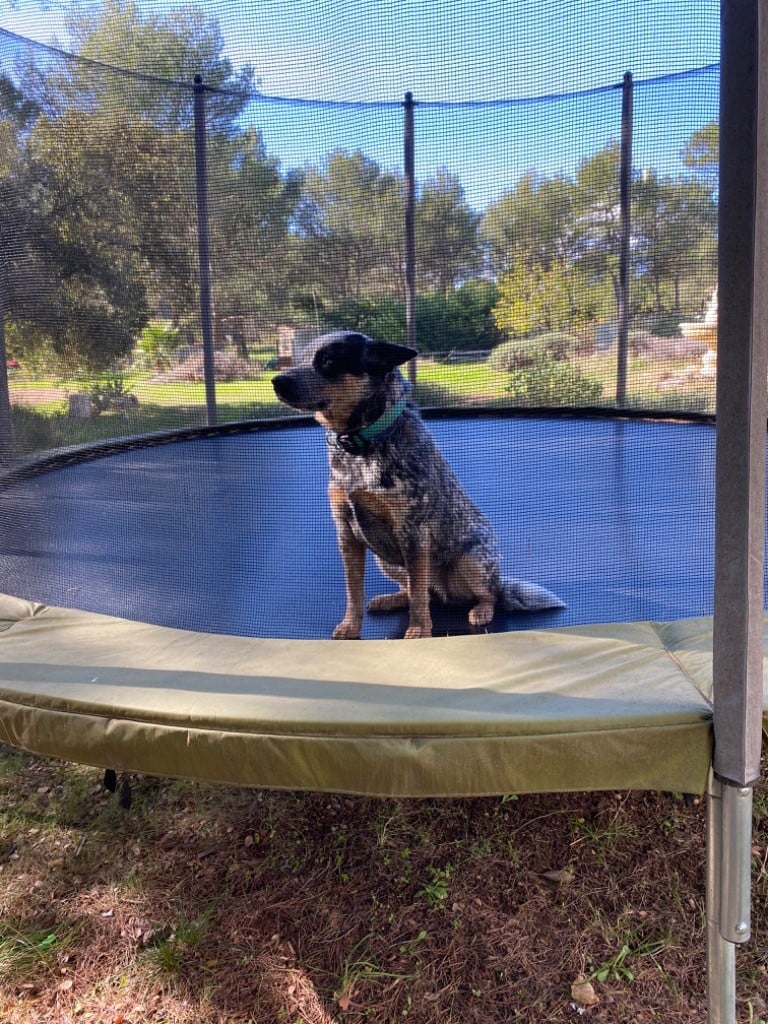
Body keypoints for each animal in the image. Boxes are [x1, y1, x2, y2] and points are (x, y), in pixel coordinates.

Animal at [272, 331, 564, 639]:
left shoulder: (412, 532)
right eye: (301, 358)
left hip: (472, 560)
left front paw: (419, 631)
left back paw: (482, 610)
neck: (362, 445)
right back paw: (393, 598)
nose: (277, 381)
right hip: (386, 560)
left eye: (327, 360)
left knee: (487, 593)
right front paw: (351, 626)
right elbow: (355, 591)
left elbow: (418, 596)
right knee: (423, 592)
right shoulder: (346, 533)